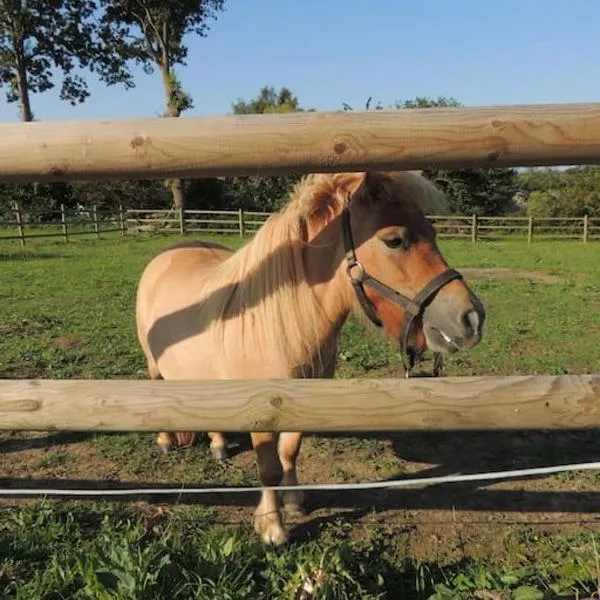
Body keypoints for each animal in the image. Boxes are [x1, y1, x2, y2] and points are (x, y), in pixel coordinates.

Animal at [134, 171, 486, 548]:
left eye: (432, 233)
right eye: (395, 240)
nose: (471, 318)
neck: (280, 322)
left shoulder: (303, 400)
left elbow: (290, 452)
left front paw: (295, 502)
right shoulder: (262, 412)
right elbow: (269, 468)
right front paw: (272, 526)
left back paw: (218, 444)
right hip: (155, 366)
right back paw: (166, 441)